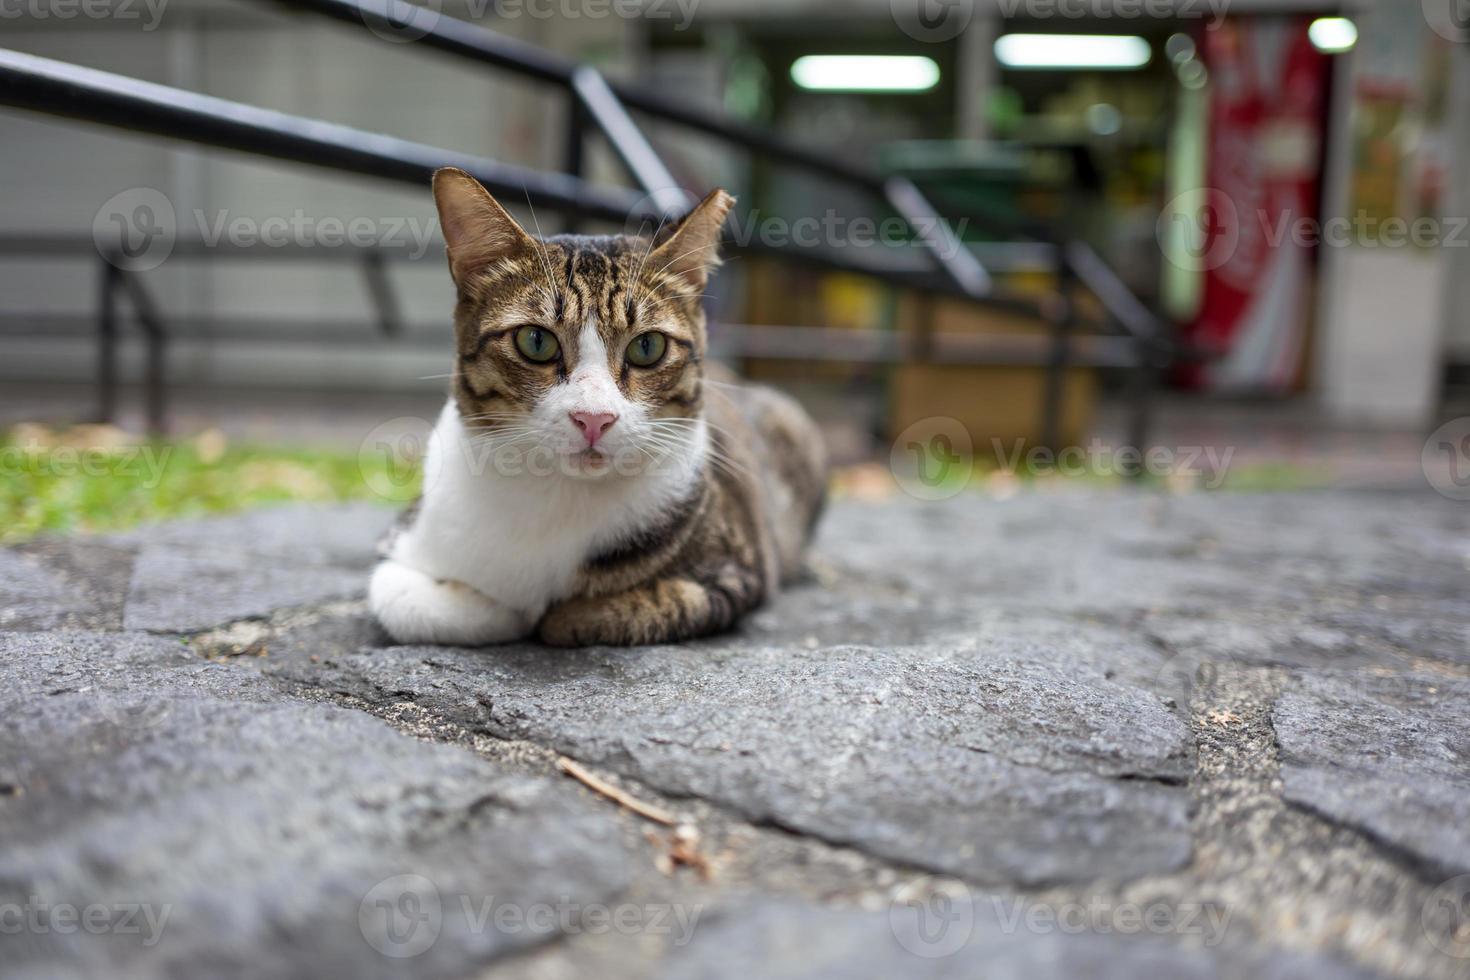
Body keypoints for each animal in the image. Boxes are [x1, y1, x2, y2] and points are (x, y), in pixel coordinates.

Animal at [367, 168, 829, 646]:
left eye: (647, 347)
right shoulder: (402, 540)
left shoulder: (738, 573)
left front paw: (552, 614)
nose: (594, 418)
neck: (557, 496)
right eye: (536, 341)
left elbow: (614, 610)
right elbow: (401, 598)